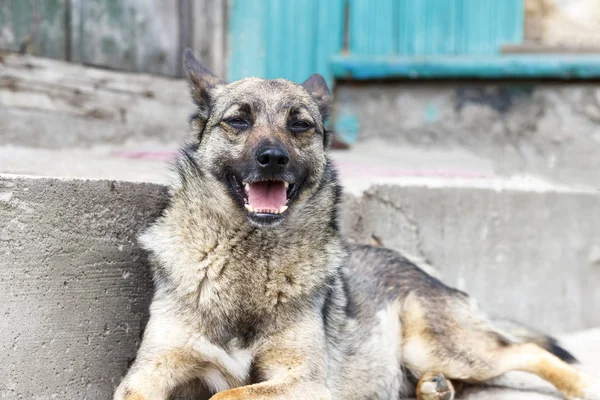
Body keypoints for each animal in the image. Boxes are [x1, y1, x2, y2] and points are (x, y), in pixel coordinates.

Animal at [116, 50, 600, 400]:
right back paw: (435, 388)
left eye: (300, 126)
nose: (273, 158)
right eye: (237, 120)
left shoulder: (304, 383)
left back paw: (579, 386)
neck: (249, 259)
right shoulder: (147, 374)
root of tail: (424, 271)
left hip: (440, 346)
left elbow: (225, 396)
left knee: (529, 352)